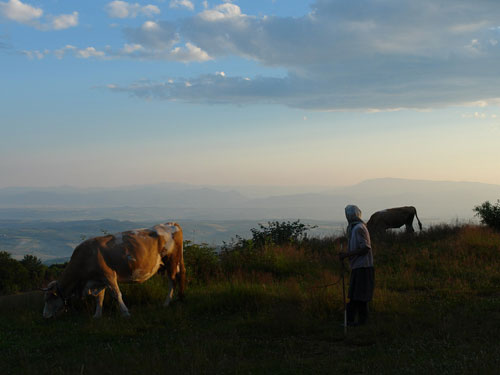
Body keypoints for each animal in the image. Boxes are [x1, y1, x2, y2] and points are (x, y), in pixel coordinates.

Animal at [42, 223, 186, 320]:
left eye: (49, 298)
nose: (44, 315)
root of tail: (171, 223)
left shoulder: (109, 275)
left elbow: (117, 295)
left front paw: (125, 313)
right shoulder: (99, 280)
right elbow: (99, 298)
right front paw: (97, 315)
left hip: (171, 261)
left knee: (172, 281)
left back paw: (166, 303)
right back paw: (180, 298)